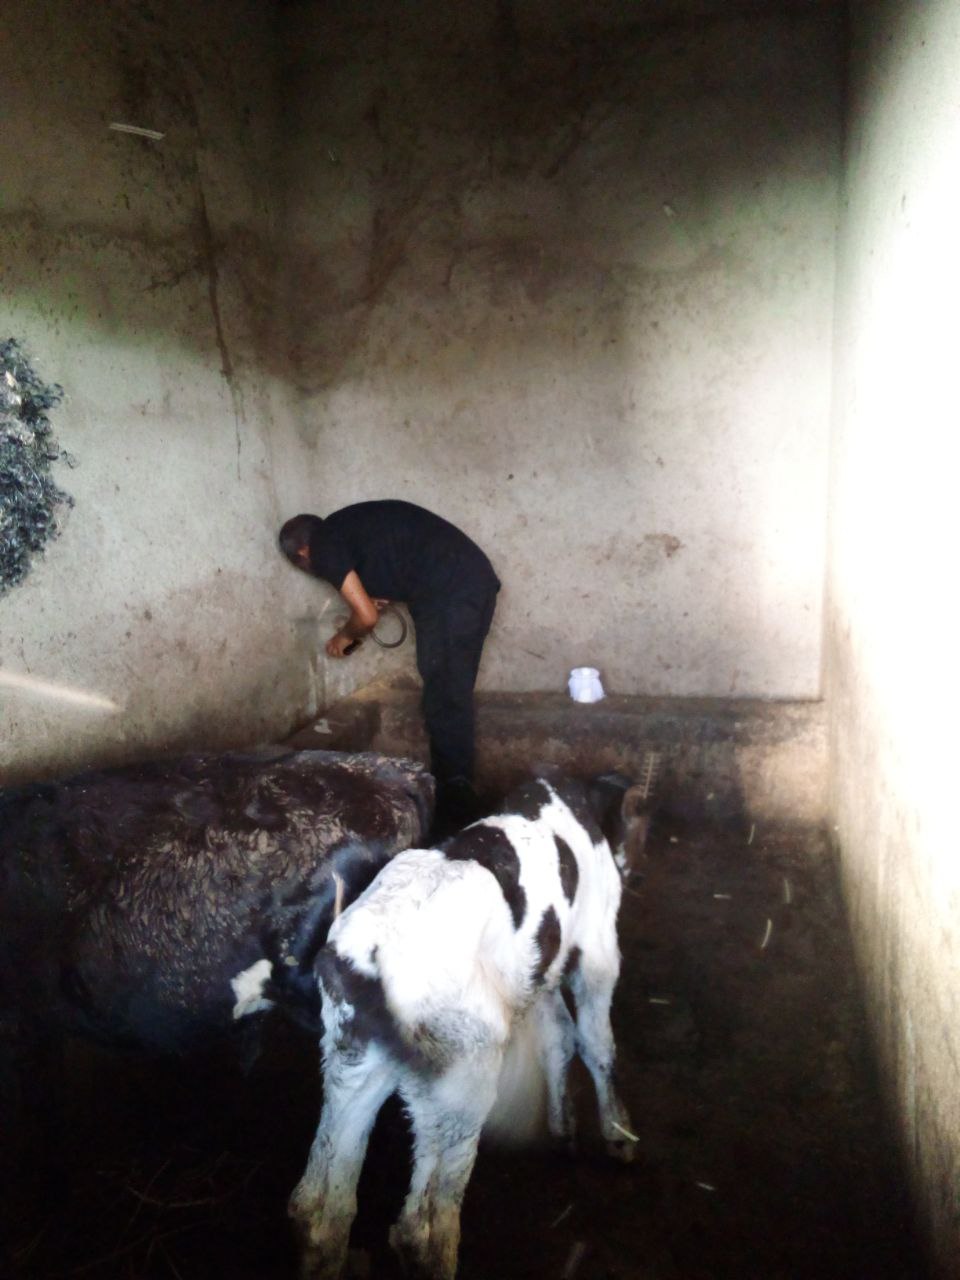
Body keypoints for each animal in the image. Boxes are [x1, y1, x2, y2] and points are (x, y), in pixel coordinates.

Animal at [289, 773, 650, 1274]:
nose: (637, 869)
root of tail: (366, 959)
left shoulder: (536, 970)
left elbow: (558, 1038)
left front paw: (564, 1128)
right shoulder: (597, 949)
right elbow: (596, 1044)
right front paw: (619, 1136)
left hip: (353, 1059)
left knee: (319, 1205)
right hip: (463, 1072)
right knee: (422, 1226)